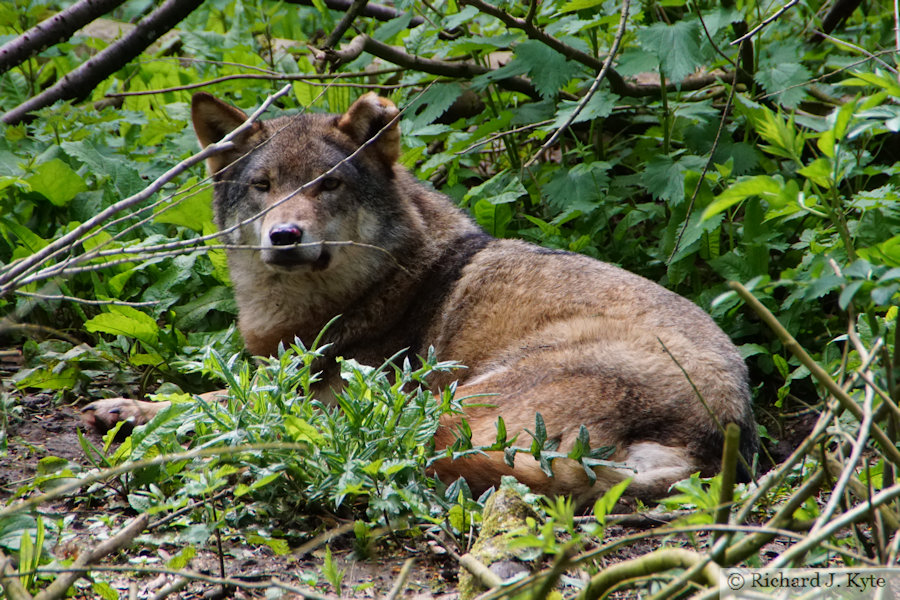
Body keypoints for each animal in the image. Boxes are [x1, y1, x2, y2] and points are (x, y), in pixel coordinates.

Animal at [86, 91, 760, 504]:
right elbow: (210, 393)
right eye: (263, 185)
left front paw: (139, 413)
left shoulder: (329, 393)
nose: (285, 236)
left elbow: (226, 401)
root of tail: (716, 433)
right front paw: (126, 408)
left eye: (328, 185)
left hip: (438, 411)